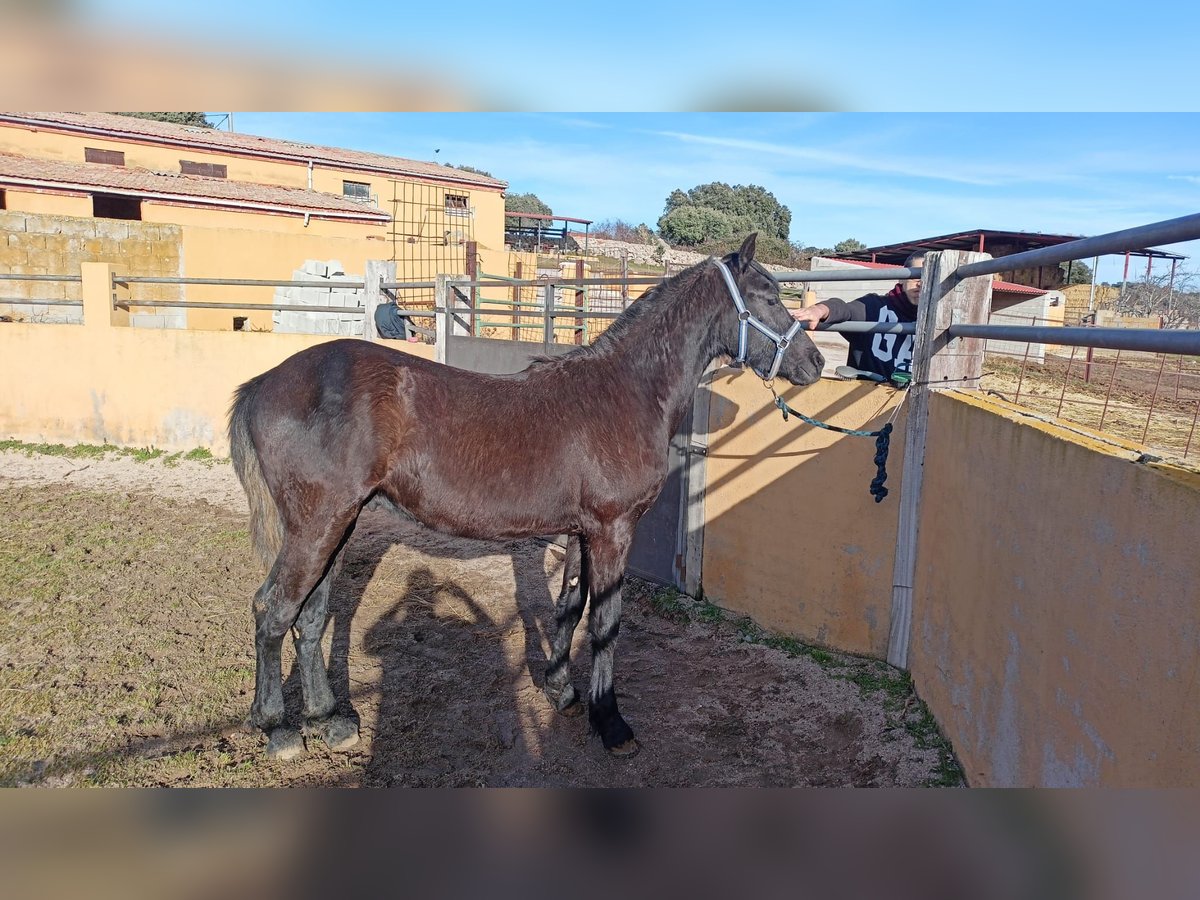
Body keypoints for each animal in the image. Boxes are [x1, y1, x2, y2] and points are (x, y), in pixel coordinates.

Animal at [226, 232, 825, 763]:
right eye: (770, 297)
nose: (816, 363)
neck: (624, 393)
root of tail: (263, 383)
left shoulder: (582, 530)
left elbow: (570, 607)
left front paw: (562, 691)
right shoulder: (613, 529)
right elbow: (605, 623)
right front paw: (611, 722)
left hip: (338, 526)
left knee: (310, 616)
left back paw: (330, 720)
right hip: (318, 526)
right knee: (273, 609)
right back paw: (278, 729)